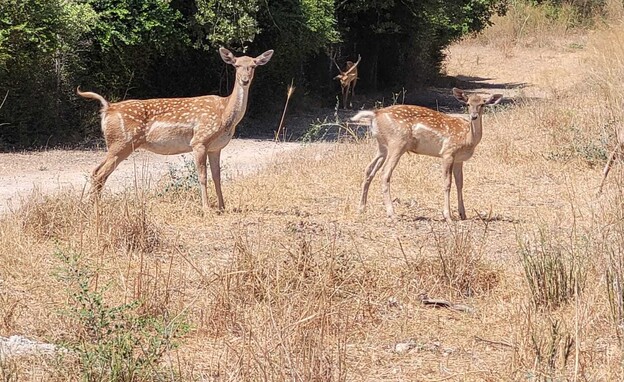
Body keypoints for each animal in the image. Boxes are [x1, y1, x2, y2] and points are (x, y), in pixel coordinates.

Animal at [78, 47, 272, 212]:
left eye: (253, 65)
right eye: (236, 65)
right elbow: (202, 176)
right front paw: (206, 209)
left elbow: (217, 176)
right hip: (122, 143)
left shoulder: (215, 147)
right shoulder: (199, 141)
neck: (224, 114)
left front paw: (222, 207)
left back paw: (91, 206)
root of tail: (107, 108)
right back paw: (95, 208)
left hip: (115, 145)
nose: (245, 80)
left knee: (96, 172)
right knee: (100, 174)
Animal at [352, 87, 502, 221]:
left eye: (482, 104)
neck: (467, 137)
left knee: (369, 169)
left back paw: (361, 208)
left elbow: (460, 184)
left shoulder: (459, 160)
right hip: (397, 143)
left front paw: (462, 214)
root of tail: (375, 114)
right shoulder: (448, 152)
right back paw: (392, 214)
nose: (474, 116)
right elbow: (447, 183)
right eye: (468, 104)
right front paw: (448, 216)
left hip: (382, 146)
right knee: (385, 172)